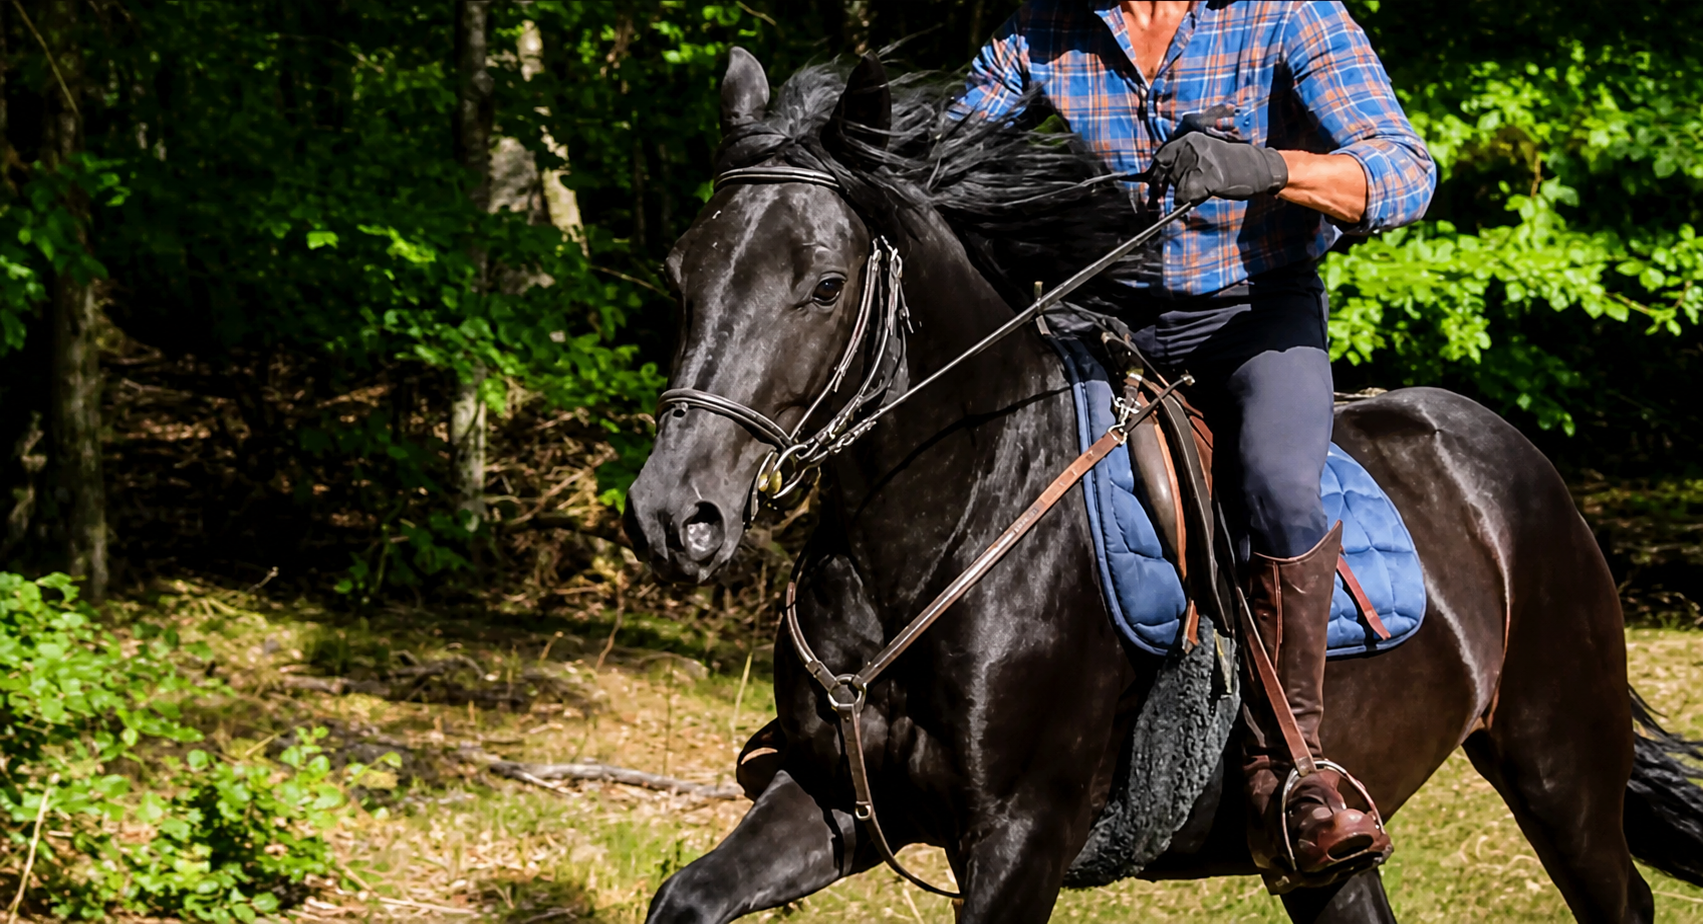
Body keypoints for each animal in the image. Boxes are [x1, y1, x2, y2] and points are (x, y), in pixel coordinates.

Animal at [622, 50, 1703, 924]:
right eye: (681, 271)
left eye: (825, 285)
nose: (675, 513)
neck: (940, 529)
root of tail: (1509, 460)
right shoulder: (832, 801)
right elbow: (687, 898)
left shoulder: (1019, 840)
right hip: (1332, 859)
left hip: (1557, 765)